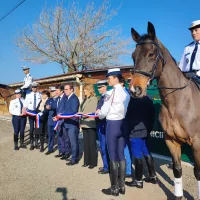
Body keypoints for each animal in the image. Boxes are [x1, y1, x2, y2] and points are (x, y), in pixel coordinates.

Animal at [130, 21, 200, 199]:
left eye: (151, 53)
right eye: (133, 56)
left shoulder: (197, 143)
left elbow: (197, 172)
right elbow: (177, 170)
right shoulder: (171, 141)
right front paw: (178, 195)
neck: (178, 103)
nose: (135, 89)